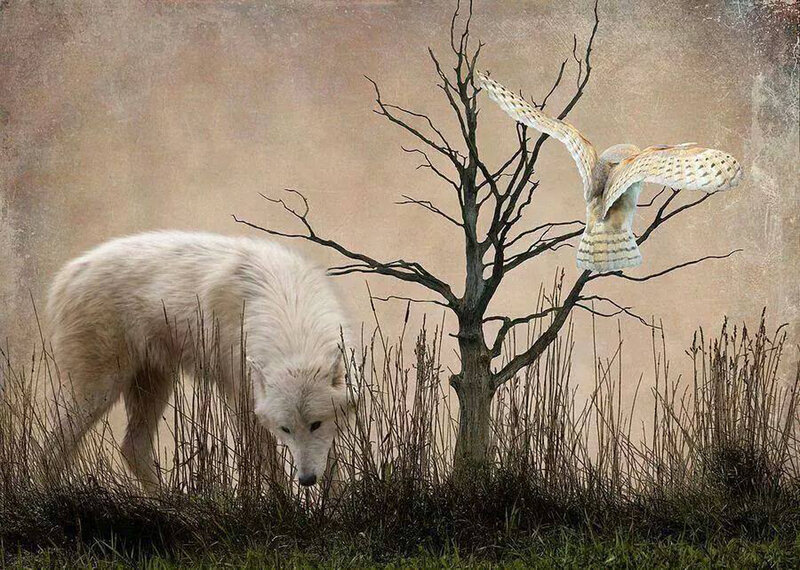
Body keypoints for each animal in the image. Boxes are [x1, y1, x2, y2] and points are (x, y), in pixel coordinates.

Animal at [45, 231, 352, 490]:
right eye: (285, 429)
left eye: (315, 424)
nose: (307, 480)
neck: (288, 306)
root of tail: (66, 274)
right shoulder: (240, 400)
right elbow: (269, 467)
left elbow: (332, 467)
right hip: (99, 391)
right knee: (50, 448)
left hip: (155, 385)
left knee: (132, 447)